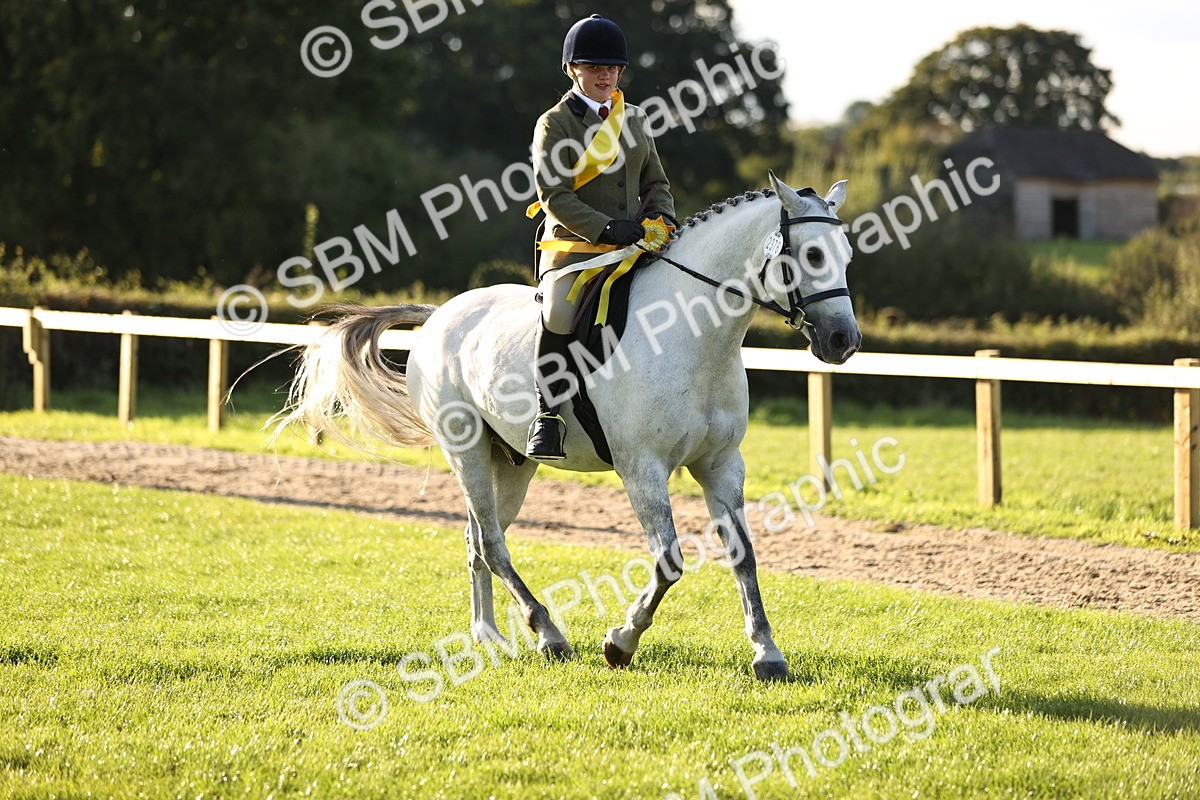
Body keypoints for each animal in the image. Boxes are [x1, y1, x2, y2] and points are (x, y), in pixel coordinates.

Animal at [274, 172, 861, 681]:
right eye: (812, 254)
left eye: (847, 257)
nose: (843, 342)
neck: (693, 335)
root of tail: (441, 314)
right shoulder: (642, 469)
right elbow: (669, 561)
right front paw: (620, 642)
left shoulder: (721, 465)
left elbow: (744, 554)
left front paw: (767, 652)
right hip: (464, 448)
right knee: (492, 543)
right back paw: (548, 633)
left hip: (512, 462)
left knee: (477, 537)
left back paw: (488, 635)